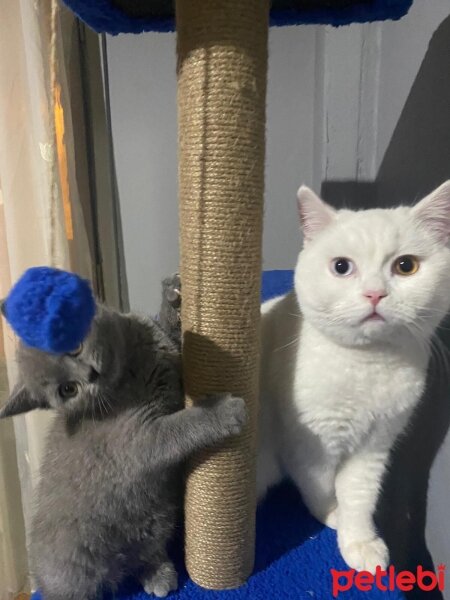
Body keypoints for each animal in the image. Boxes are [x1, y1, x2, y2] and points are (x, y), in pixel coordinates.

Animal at [0, 290, 246, 596]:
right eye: (68, 390)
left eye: (74, 345)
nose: (90, 375)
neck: (132, 363)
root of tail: (114, 569)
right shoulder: (139, 439)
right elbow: (183, 425)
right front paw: (224, 410)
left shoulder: (167, 348)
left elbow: (171, 331)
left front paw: (174, 298)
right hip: (67, 569)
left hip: (157, 520)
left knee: (144, 554)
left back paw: (159, 576)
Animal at [256, 182, 450, 572]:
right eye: (341, 267)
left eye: (406, 266)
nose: (374, 293)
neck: (368, 366)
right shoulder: (309, 442)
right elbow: (319, 485)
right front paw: (331, 512)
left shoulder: (375, 446)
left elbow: (360, 496)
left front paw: (359, 540)